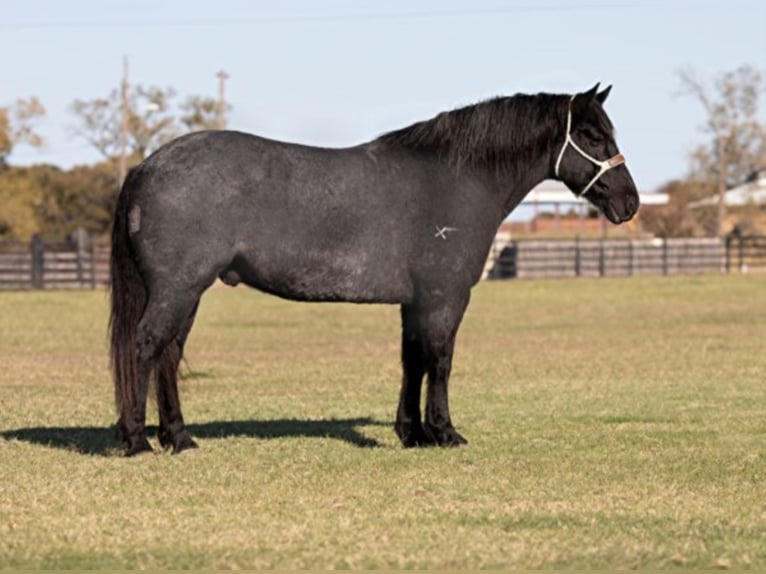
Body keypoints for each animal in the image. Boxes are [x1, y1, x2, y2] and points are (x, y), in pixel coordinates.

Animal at [109, 83, 640, 456]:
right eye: (592, 135)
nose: (629, 203)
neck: (454, 179)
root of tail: (146, 166)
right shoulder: (446, 296)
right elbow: (440, 360)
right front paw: (445, 432)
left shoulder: (416, 301)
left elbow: (412, 360)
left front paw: (413, 433)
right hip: (178, 289)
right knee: (146, 347)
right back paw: (137, 440)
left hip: (186, 293)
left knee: (169, 355)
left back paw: (179, 438)